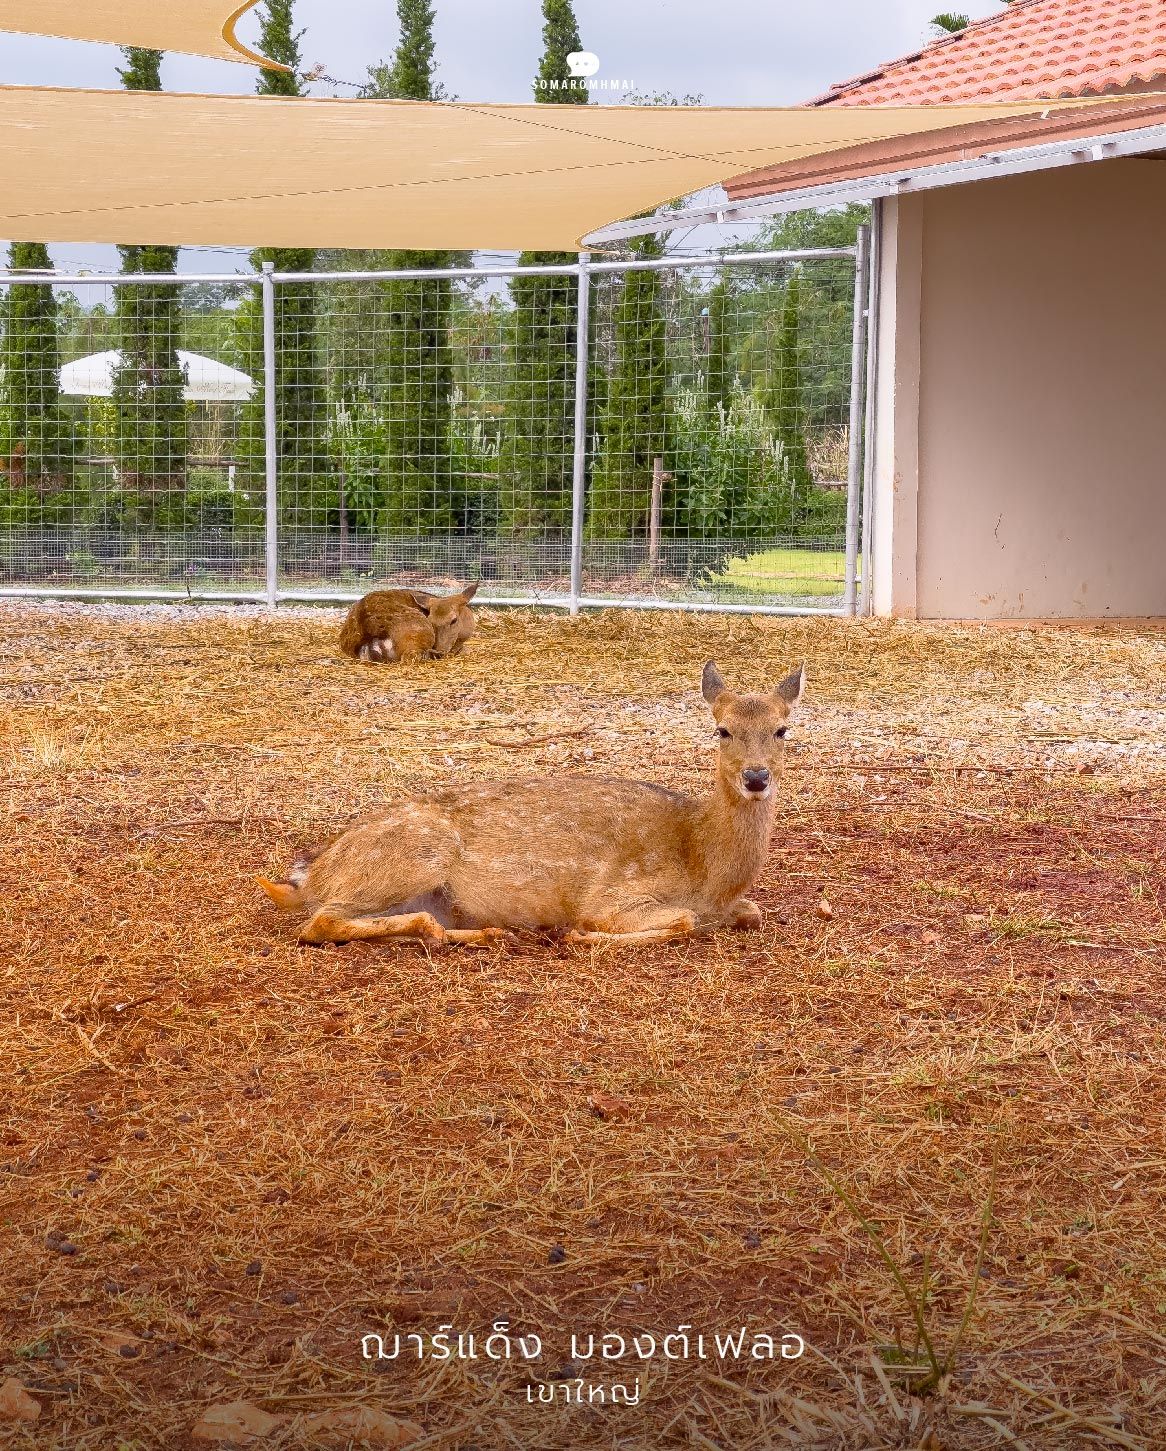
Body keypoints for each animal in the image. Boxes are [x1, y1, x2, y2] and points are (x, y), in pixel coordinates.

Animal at [258, 659, 804, 947]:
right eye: (722, 730)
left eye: (782, 729)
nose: (756, 777)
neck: (704, 867)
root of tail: (311, 874)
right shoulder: (617, 895)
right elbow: (678, 921)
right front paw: (581, 935)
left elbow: (752, 911)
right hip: (410, 856)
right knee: (318, 921)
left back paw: (480, 933)